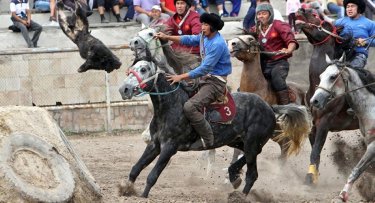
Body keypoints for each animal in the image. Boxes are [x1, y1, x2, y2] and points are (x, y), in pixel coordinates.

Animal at [296, 7, 360, 185]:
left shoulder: (325, 122)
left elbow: (316, 151)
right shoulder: (313, 125)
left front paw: (309, 177)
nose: (302, 9)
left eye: (324, 23)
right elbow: (315, 152)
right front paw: (314, 175)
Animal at [312, 54, 375, 202]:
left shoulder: (373, 146)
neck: (371, 107)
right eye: (321, 75)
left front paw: (342, 195)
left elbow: (356, 170)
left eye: (333, 76)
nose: (314, 101)